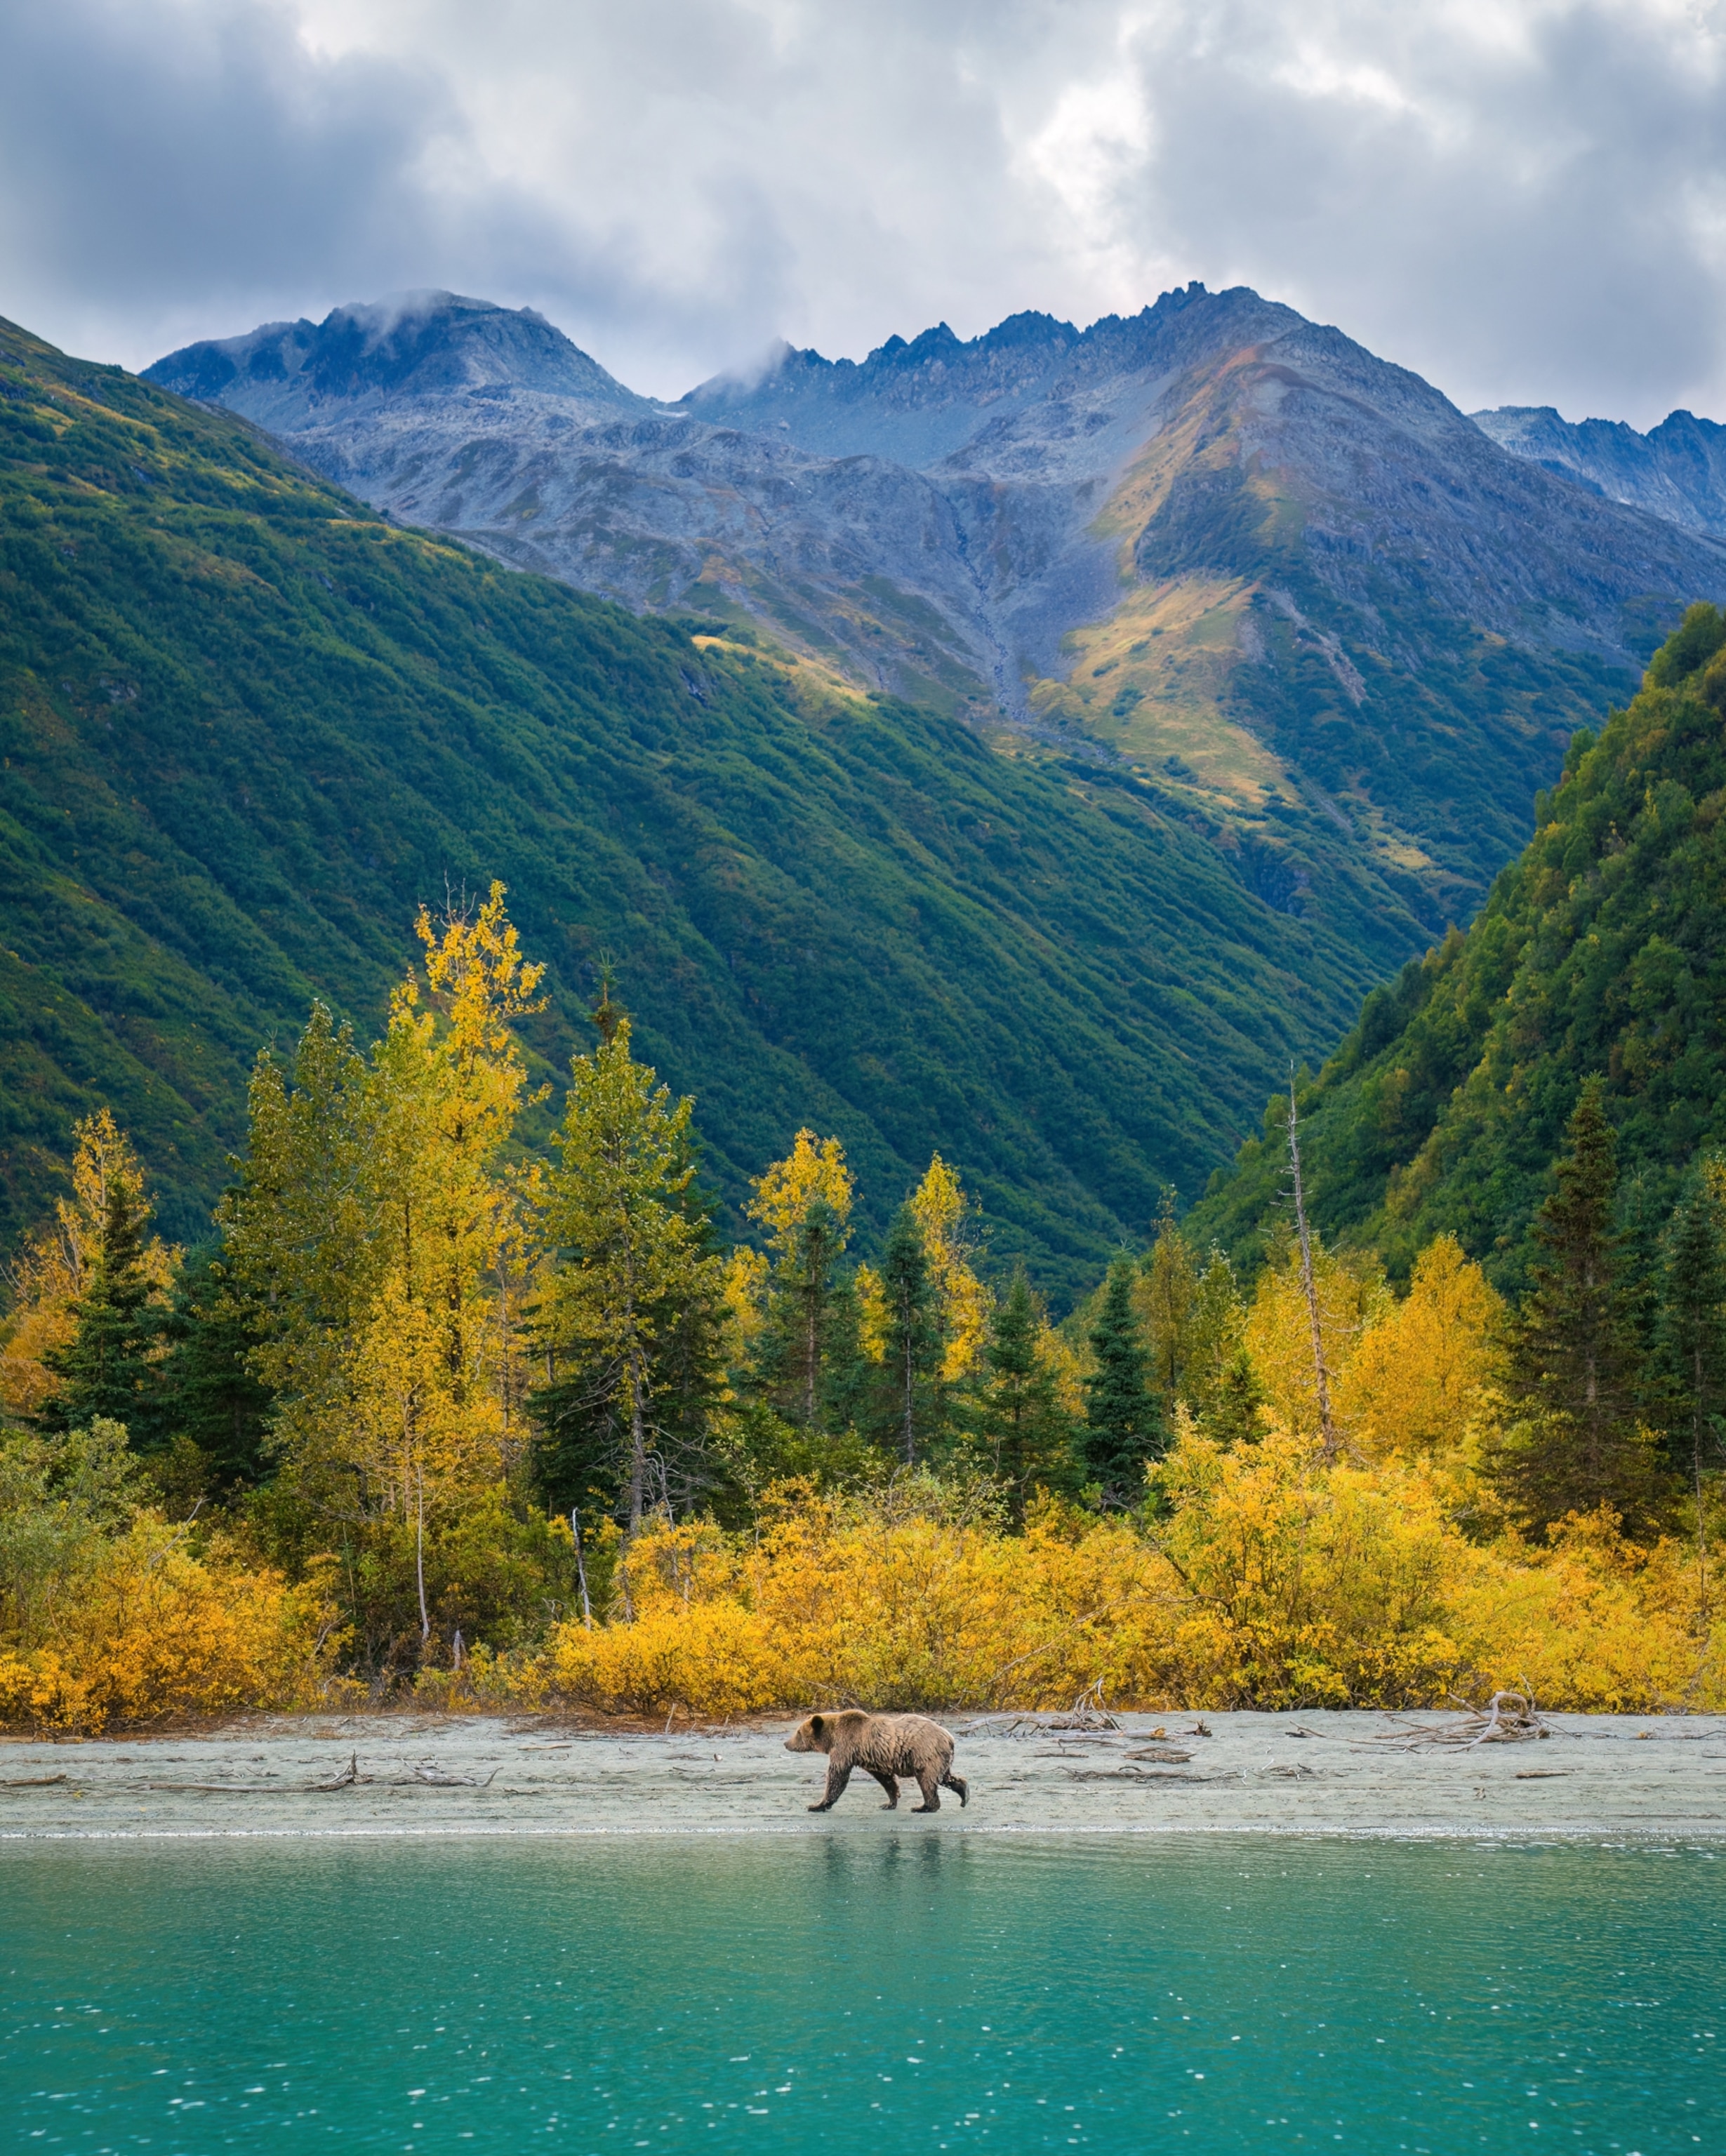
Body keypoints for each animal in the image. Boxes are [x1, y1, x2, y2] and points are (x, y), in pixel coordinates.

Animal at [784, 1709, 969, 1814]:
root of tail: (949, 1737)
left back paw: (924, 1807)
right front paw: (890, 1802)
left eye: (798, 1732)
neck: (831, 1738)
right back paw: (964, 1795)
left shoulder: (845, 1748)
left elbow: (837, 1777)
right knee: (945, 1777)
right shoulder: (871, 1758)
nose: (786, 1743)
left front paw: (817, 1805)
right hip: (939, 1757)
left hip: (924, 1752)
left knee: (928, 1781)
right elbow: (886, 1780)